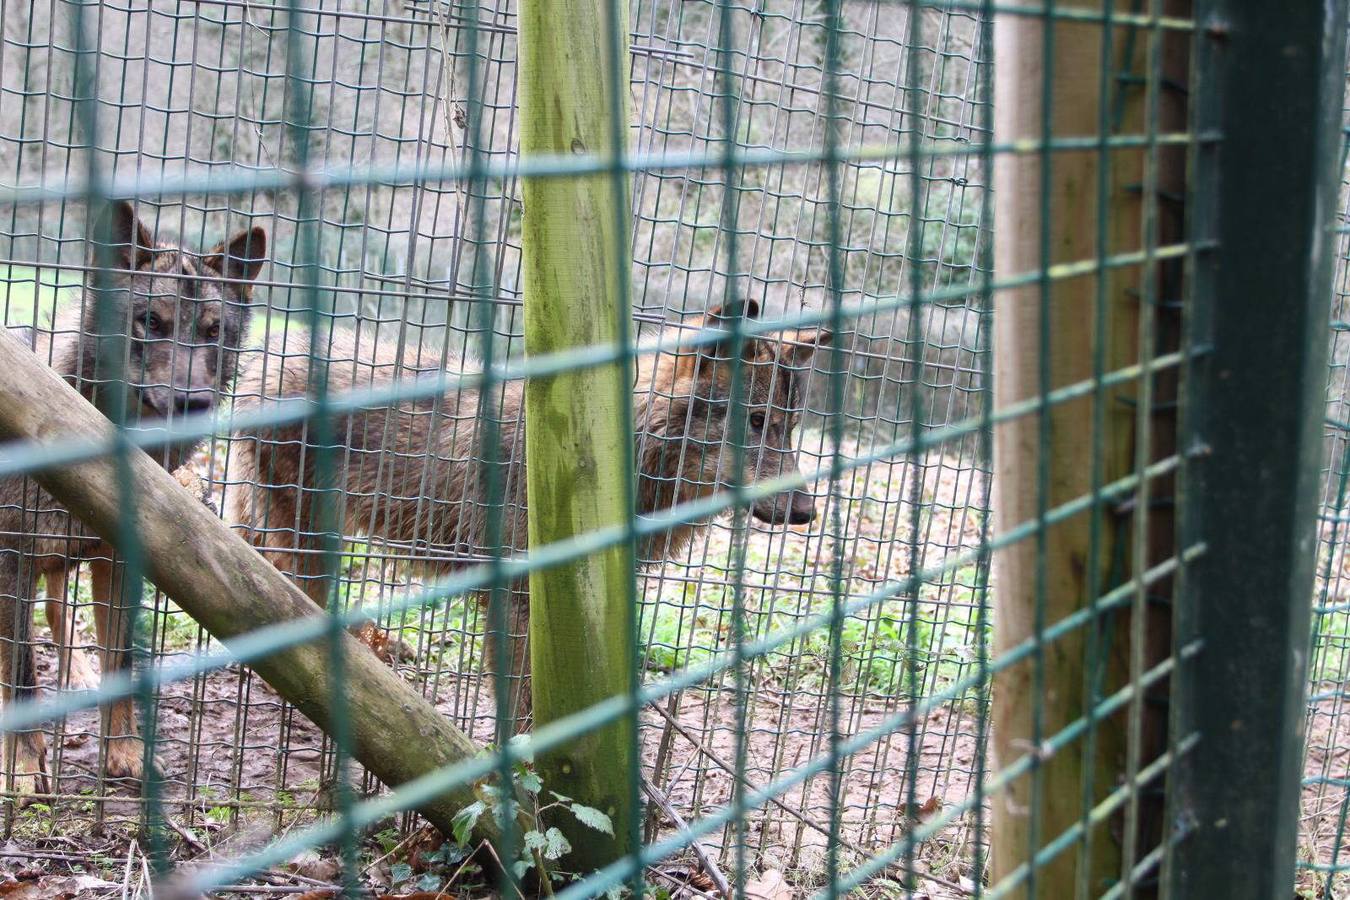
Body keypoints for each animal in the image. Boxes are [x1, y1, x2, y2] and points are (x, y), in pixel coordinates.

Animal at [226, 302, 826, 723]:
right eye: (756, 421)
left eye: (790, 427)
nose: (807, 511)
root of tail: (266, 357)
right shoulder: (516, 602)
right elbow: (524, 703)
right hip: (307, 544)